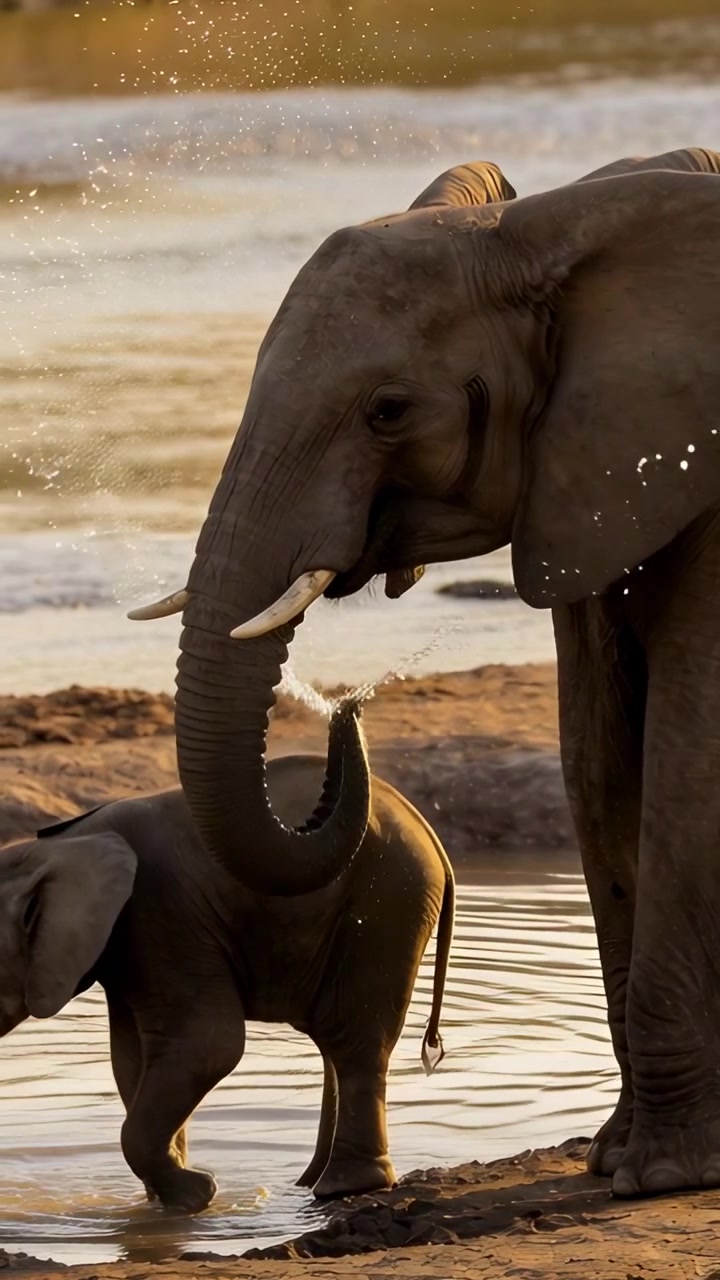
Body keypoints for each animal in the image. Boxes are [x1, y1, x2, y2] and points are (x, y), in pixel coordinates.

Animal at [0, 701, 454, 1212]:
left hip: (388, 902)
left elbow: (208, 1045)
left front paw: (195, 1196)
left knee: (351, 1035)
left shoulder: (160, 912)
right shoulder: (130, 946)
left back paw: (342, 1187)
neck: (50, 847)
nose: (348, 709)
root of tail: (430, 834)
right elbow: (133, 1059)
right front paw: (167, 1199)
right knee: (335, 1039)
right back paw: (308, 1184)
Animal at [128, 144, 720, 1200]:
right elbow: (598, 764)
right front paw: (619, 1158)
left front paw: (661, 1177)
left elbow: (688, 747)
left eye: (387, 410)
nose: (344, 709)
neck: (554, 229)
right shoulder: (591, 478)